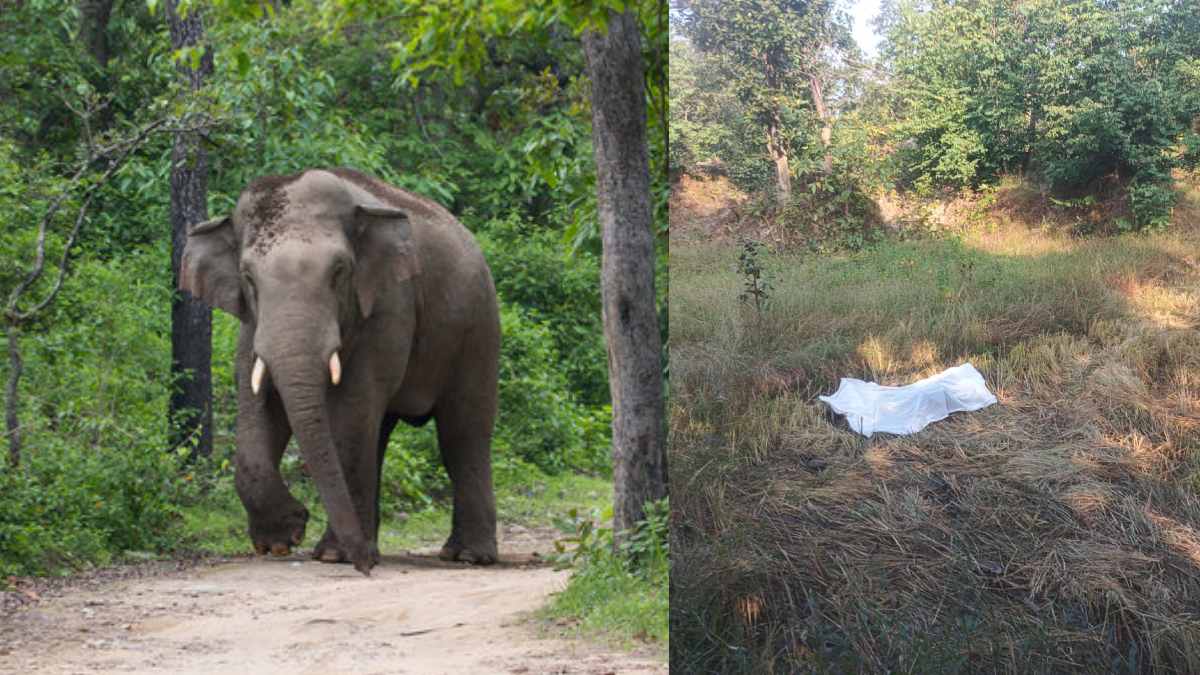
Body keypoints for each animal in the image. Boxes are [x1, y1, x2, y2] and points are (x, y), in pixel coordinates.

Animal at [179, 168, 500, 575]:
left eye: (339, 271)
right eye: (248, 277)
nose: (365, 567)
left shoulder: (387, 304)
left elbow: (351, 406)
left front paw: (334, 554)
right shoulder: (252, 323)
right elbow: (258, 403)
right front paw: (282, 540)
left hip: (478, 329)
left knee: (462, 433)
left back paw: (468, 556)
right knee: (381, 433)